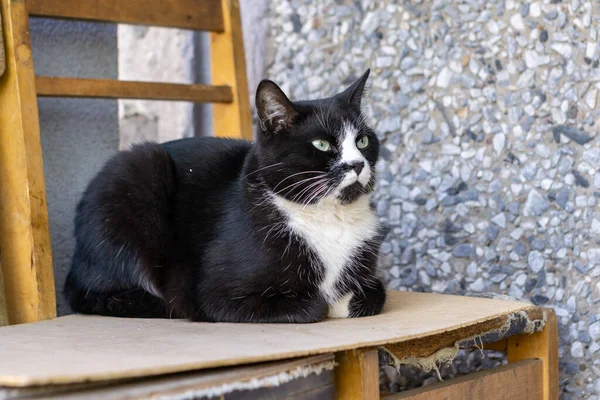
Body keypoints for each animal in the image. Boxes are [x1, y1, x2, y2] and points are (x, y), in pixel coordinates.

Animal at [63, 70, 386, 324]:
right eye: (321, 144)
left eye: (363, 140)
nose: (357, 164)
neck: (328, 217)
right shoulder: (215, 293)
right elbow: (313, 306)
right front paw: (328, 302)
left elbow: (375, 295)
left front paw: (346, 300)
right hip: (137, 172)